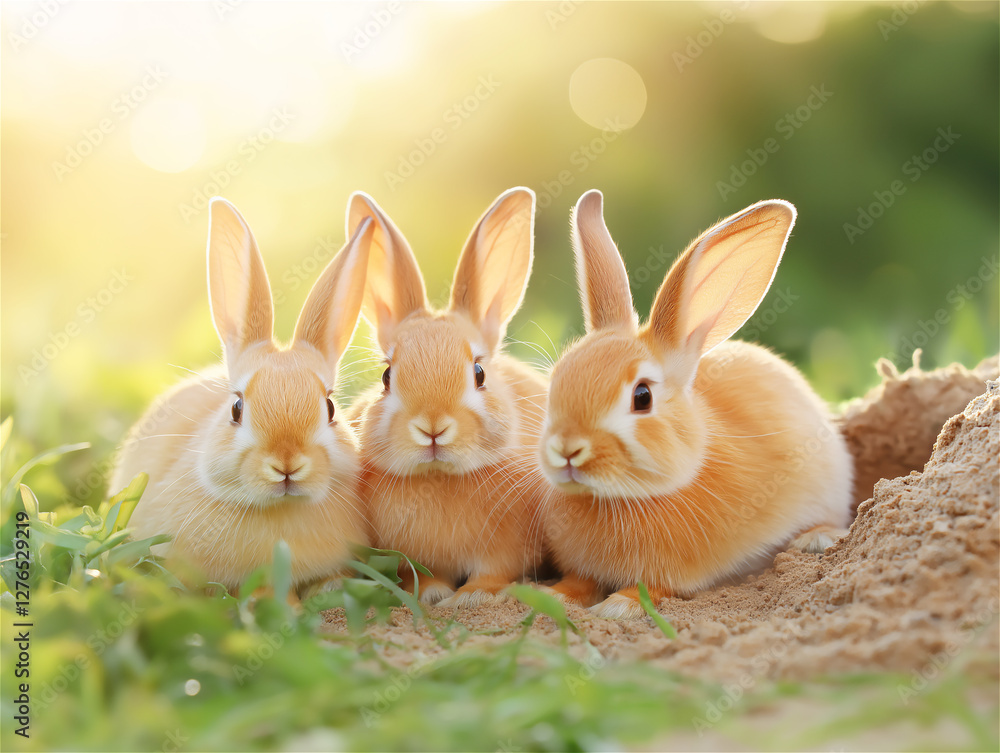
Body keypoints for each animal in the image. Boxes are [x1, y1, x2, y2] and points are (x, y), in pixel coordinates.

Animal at [345, 188, 550, 608]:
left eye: (479, 373)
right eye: (386, 377)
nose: (433, 427)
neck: (439, 477)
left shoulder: (505, 549)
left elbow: (494, 572)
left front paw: (472, 597)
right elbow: (426, 574)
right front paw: (433, 594)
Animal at [537, 190, 854, 619]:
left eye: (642, 397)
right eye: (556, 382)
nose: (567, 449)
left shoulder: (676, 576)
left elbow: (653, 588)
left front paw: (617, 607)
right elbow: (578, 581)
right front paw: (553, 596)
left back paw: (817, 539)